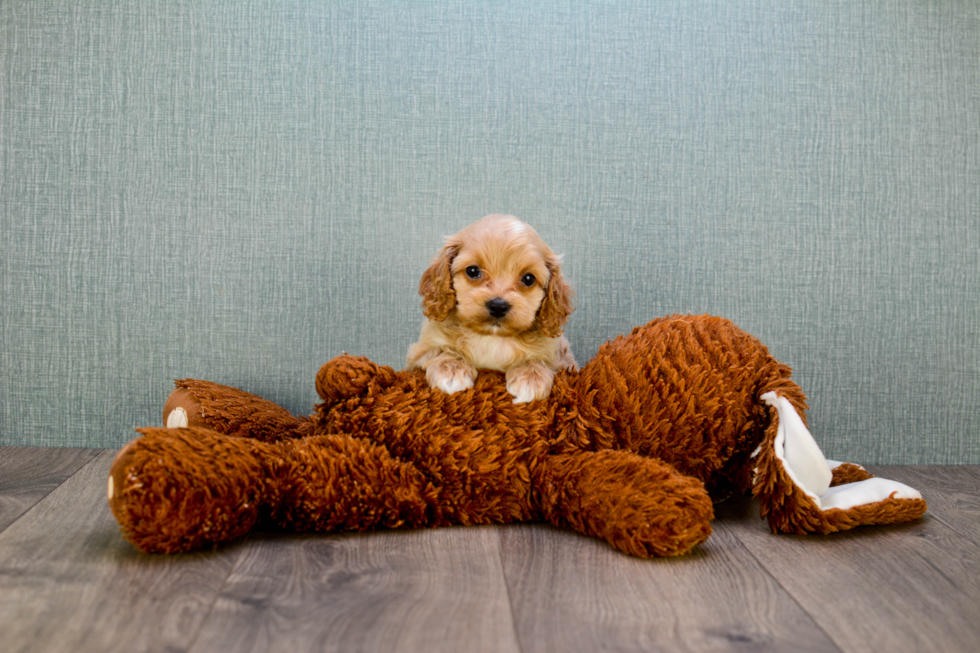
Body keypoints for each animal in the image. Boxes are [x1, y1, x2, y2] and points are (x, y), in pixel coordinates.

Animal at [406, 215, 576, 402]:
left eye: (528, 279)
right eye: (473, 271)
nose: (498, 306)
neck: (491, 337)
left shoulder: (562, 361)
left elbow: (540, 360)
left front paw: (531, 376)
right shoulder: (418, 355)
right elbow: (440, 350)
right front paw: (451, 369)